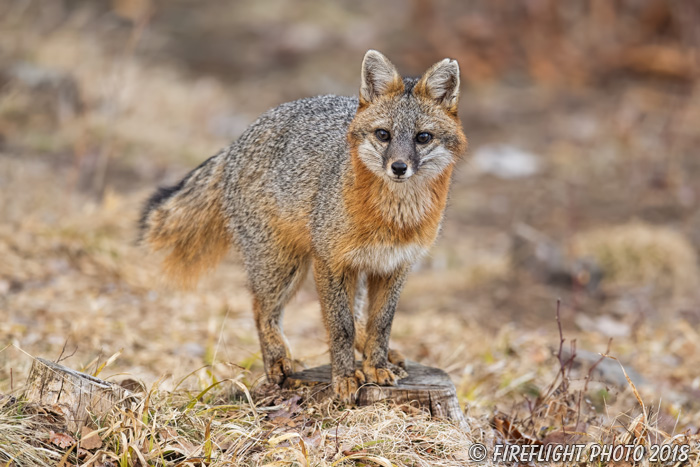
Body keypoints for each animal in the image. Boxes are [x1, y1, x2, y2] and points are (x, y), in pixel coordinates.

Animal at [139, 50, 468, 402]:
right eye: (384, 135)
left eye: (423, 138)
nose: (399, 167)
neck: (394, 218)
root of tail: (236, 143)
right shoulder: (329, 262)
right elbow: (340, 326)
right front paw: (345, 377)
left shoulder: (395, 266)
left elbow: (380, 324)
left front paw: (375, 365)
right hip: (284, 265)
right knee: (261, 309)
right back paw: (278, 361)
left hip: (346, 271)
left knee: (357, 316)